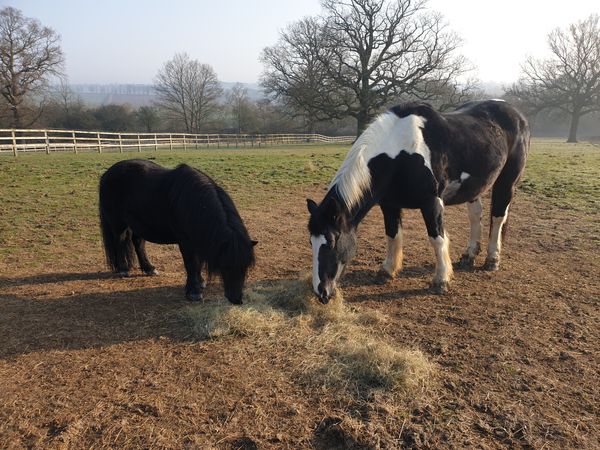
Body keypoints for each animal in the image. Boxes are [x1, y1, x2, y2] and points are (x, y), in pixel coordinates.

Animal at [98, 160, 255, 304]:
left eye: (246, 266)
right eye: (225, 265)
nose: (236, 299)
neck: (193, 202)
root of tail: (106, 174)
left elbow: (197, 263)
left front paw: (200, 281)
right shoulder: (185, 242)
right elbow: (191, 264)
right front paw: (193, 291)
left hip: (138, 224)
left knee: (138, 244)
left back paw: (149, 268)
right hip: (118, 224)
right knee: (119, 242)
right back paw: (124, 269)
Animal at [310, 99, 528, 302]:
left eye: (331, 242)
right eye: (311, 241)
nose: (321, 292)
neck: (400, 153)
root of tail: (516, 113)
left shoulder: (431, 203)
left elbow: (437, 238)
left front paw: (441, 281)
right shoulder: (389, 205)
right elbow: (392, 235)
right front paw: (387, 271)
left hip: (506, 183)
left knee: (498, 217)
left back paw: (492, 259)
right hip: (474, 188)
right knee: (476, 216)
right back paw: (469, 256)